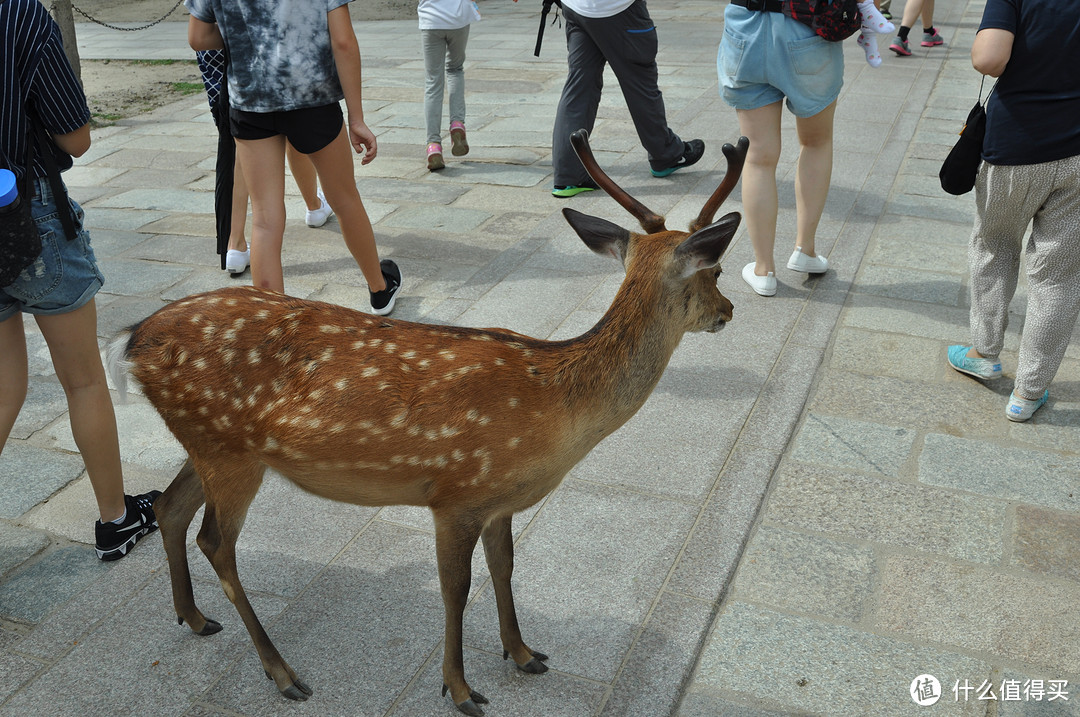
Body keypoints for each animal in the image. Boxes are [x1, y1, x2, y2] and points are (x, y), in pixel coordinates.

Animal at [111, 130, 751, 717]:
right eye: (716, 270)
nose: (729, 310)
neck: (556, 410)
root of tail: (132, 340)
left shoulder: (498, 498)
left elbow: (505, 567)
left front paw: (524, 654)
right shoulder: (457, 492)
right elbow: (456, 589)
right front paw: (461, 689)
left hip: (211, 441)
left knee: (169, 505)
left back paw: (194, 618)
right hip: (227, 450)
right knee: (214, 541)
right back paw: (283, 671)